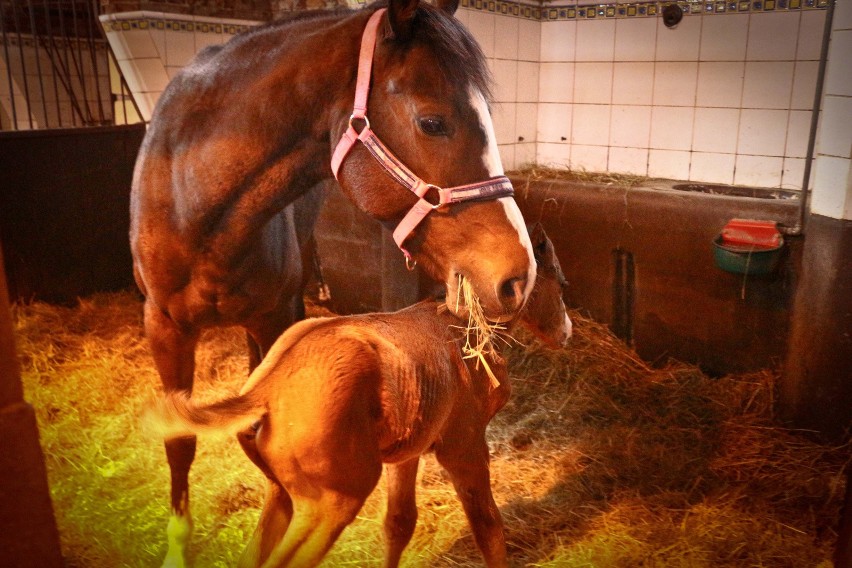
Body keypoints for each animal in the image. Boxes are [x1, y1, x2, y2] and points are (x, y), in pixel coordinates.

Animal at [130, 0, 536, 560]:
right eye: (432, 122)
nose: (517, 275)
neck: (193, 194)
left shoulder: (275, 318)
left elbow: (256, 426)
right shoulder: (164, 327)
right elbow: (181, 440)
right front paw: (177, 547)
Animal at [151, 226, 572, 568]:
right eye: (561, 282)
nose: (566, 332)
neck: (465, 329)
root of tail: (265, 390)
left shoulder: (408, 451)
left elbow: (400, 522)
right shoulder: (463, 445)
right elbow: (488, 524)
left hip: (282, 493)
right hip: (330, 502)